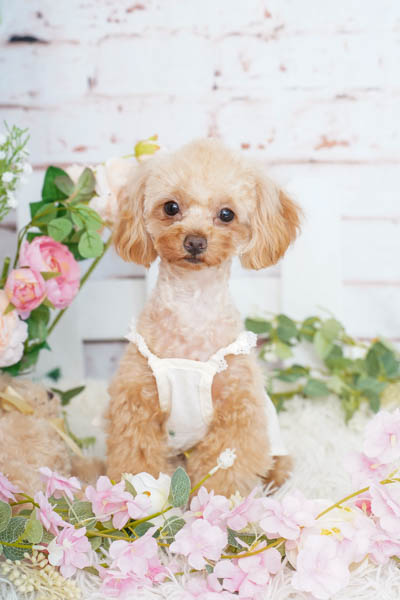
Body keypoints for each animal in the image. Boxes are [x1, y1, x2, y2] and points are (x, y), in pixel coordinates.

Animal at [106, 139, 300, 496]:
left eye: (226, 214)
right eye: (171, 207)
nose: (195, 241)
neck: (191, 305)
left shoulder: (237, 413)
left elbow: (226, 473)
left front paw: (217, 507)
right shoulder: (137, 404)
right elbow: (137, 462)